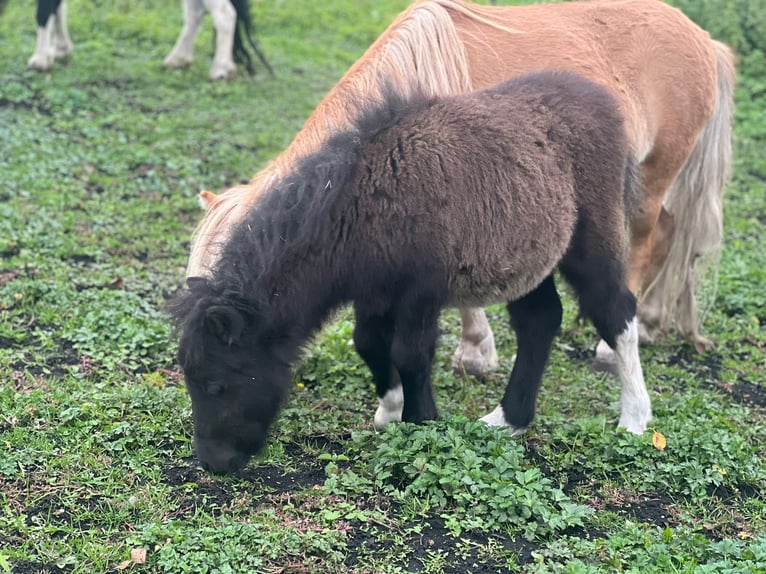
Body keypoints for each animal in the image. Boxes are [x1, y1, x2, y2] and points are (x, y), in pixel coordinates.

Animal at [27, 0, 272, 80]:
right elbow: (57, 8)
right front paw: (60, 50)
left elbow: (44, 11)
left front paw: (40, 60)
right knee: (196, 12)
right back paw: (178, 59)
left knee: (224, 14)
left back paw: (220, 69)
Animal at [172, 71, 656, 476]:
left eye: (216, 385)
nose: (213, 461)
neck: (363, 206)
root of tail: (601, 98)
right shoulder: (373, 291)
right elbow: (367, 343)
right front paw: (390, 410)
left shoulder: (421, 290)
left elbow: (409, 353)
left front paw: (421, 422)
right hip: (528, 253)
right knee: (540, 319)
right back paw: (507, 420)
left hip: (592, 235)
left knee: (613, 308)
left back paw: (634, 418)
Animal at [192, 1, 736, 388]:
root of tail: (704, 39)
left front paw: (476, 353)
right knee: (669, 233)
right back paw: (649, 321)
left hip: (650, 174)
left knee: (644, 239)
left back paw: (614, 345)